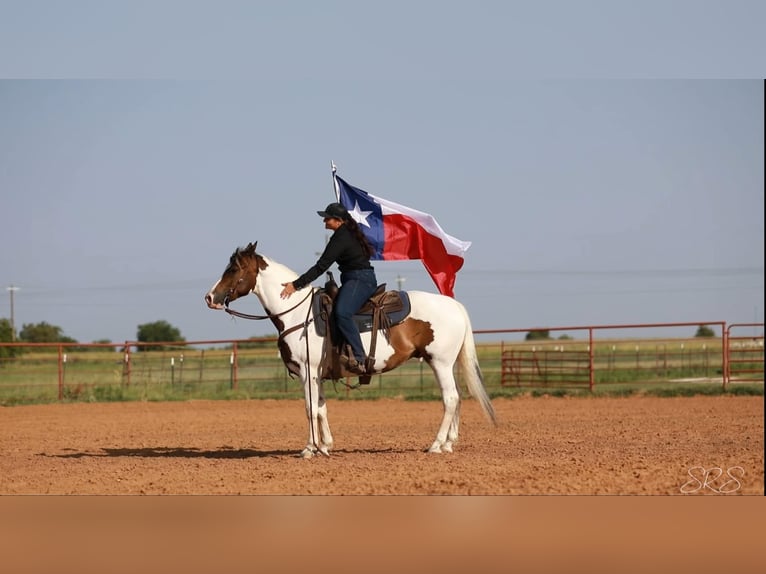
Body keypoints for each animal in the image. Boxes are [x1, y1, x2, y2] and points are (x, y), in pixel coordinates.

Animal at [204, 241, 496, 458]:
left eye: (233, 269)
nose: (209, 297)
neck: (297, 312)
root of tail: (454, 305)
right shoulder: (317, 374)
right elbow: (321, 408)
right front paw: (325, 446)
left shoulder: (307, 371)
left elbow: (310, 408)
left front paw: (309, 449)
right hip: (446, 364)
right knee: (457, 397)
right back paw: (448, 443)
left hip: (440, 362)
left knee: (450, 398)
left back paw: (436, 445)